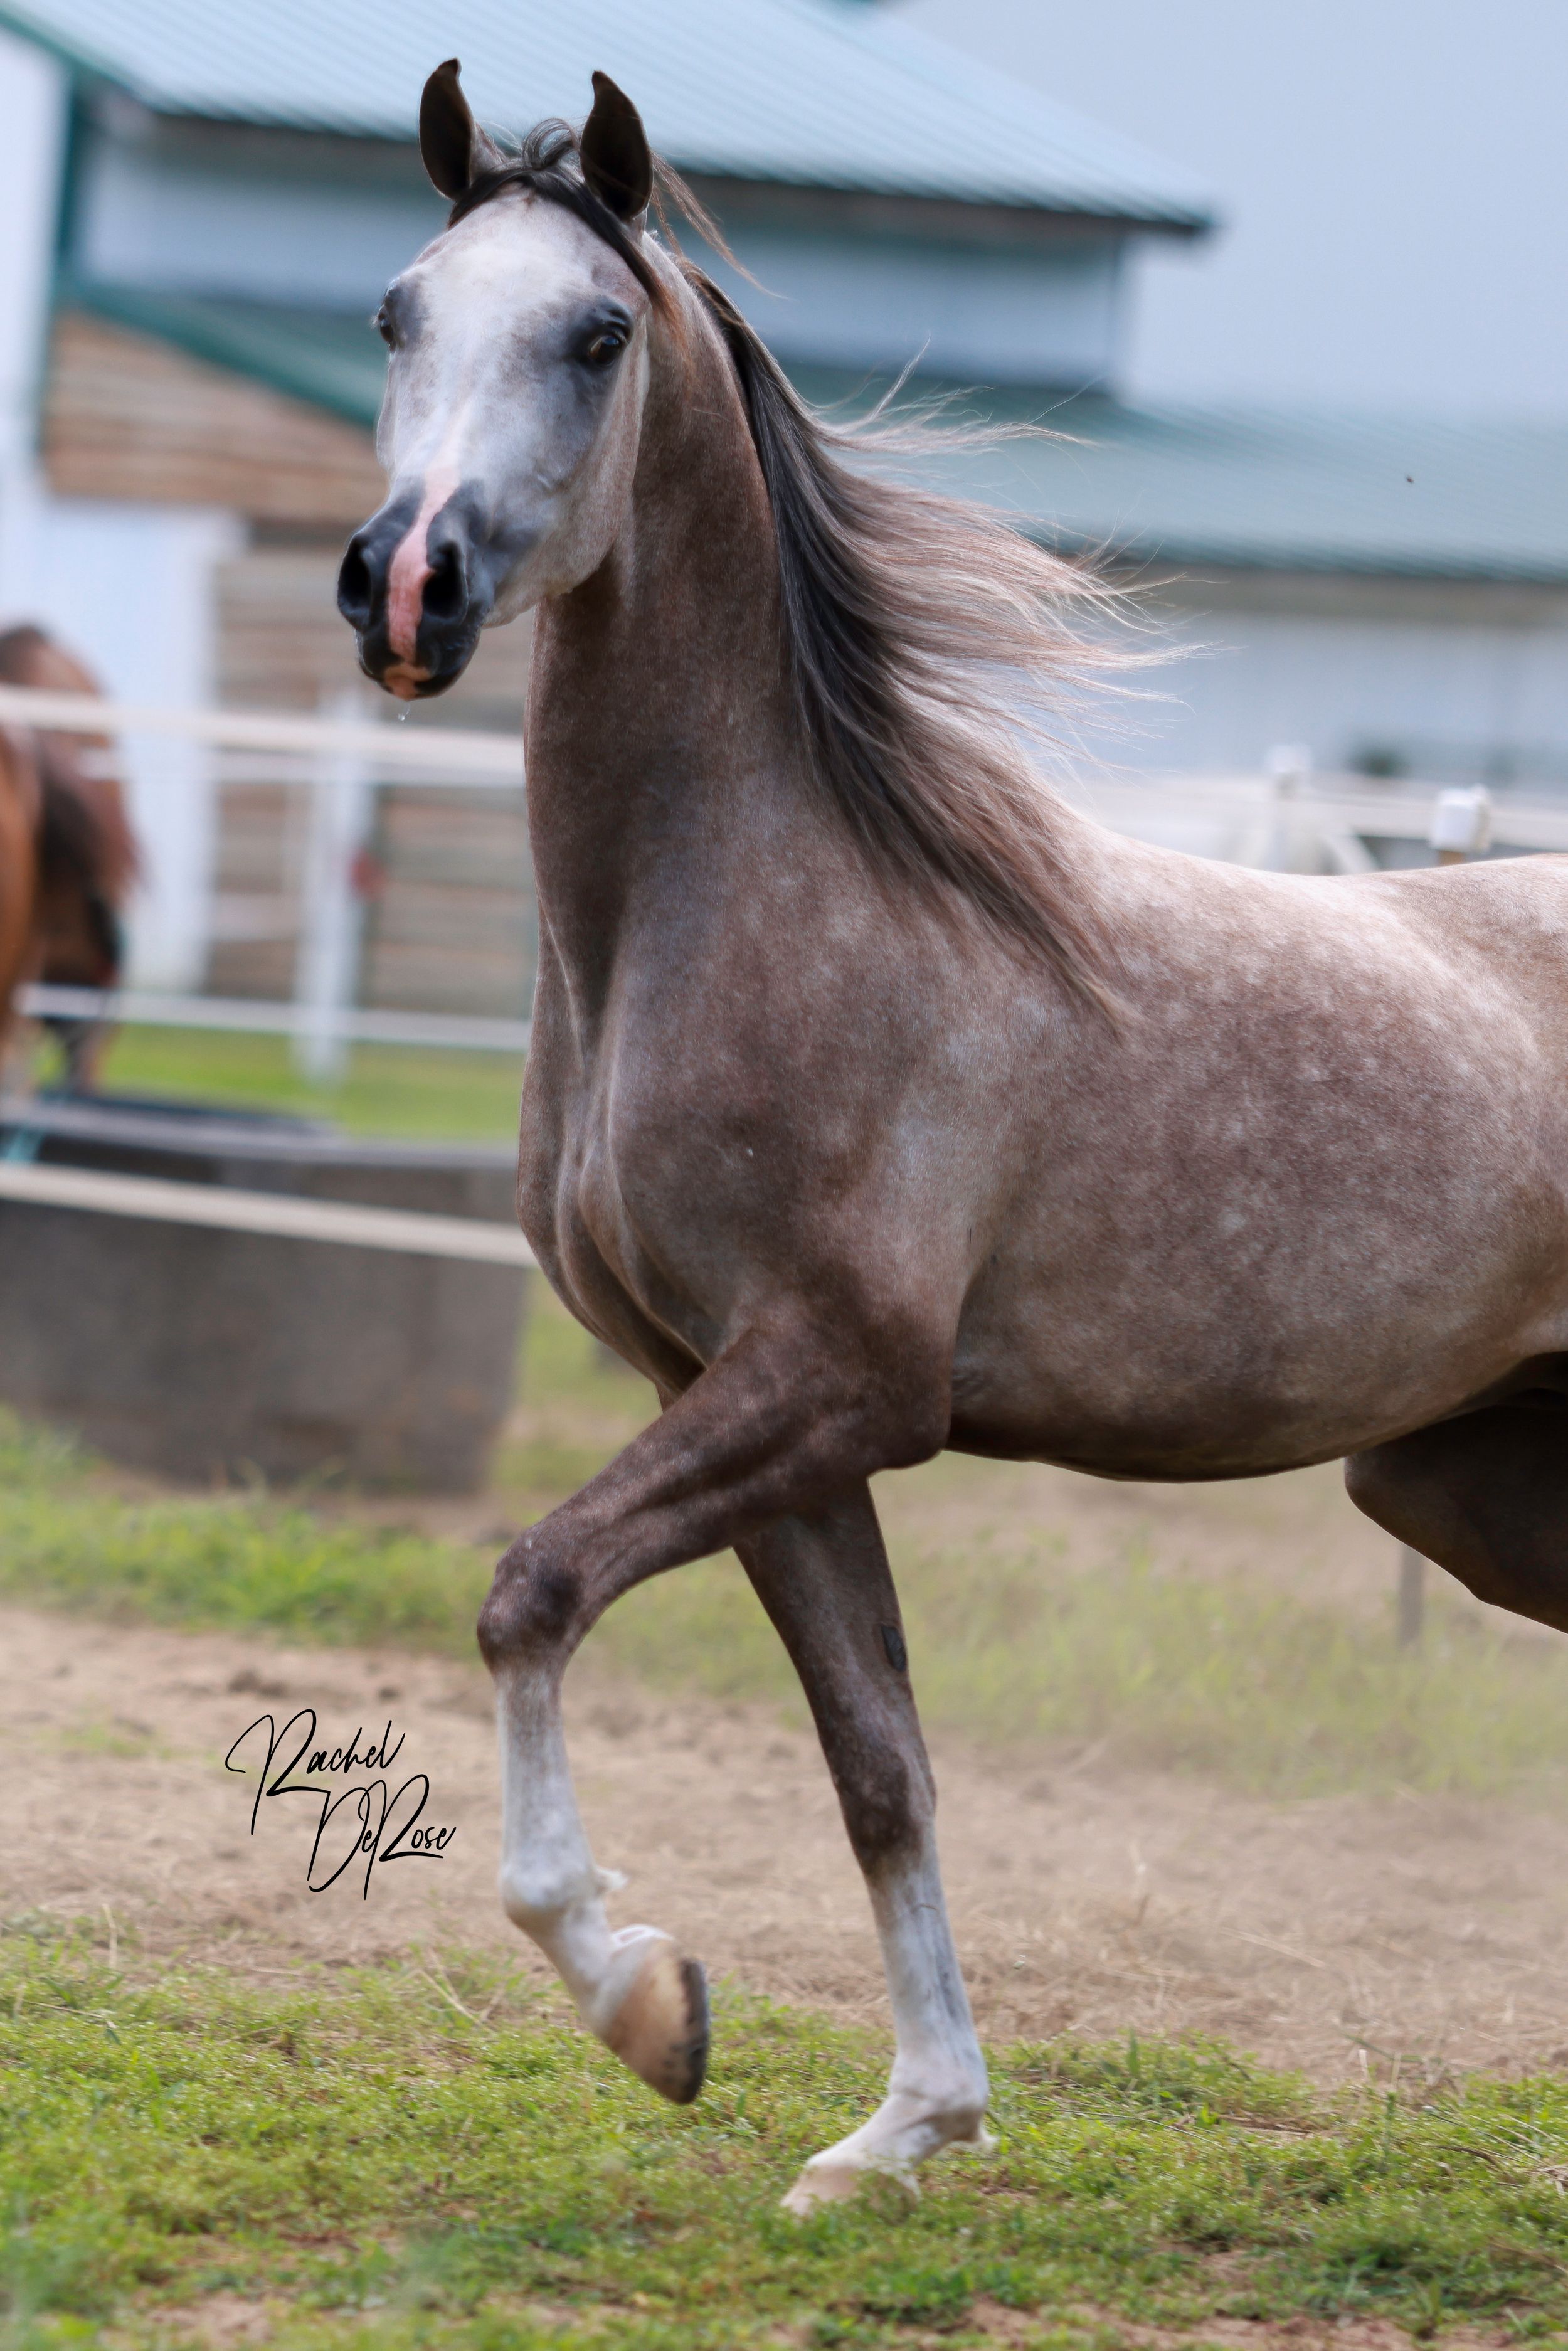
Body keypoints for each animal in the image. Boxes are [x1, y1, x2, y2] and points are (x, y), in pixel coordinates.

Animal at [337, 63, 1568, 2210]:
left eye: (591, 335)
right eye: (399, 310)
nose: (405, 587)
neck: (764, 896)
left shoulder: (838, 1380)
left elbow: (531, 1592)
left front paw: (643, 1995)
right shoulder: (746, 1406)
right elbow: (876, 1763)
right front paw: (899, 2127)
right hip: (1466, 1484)